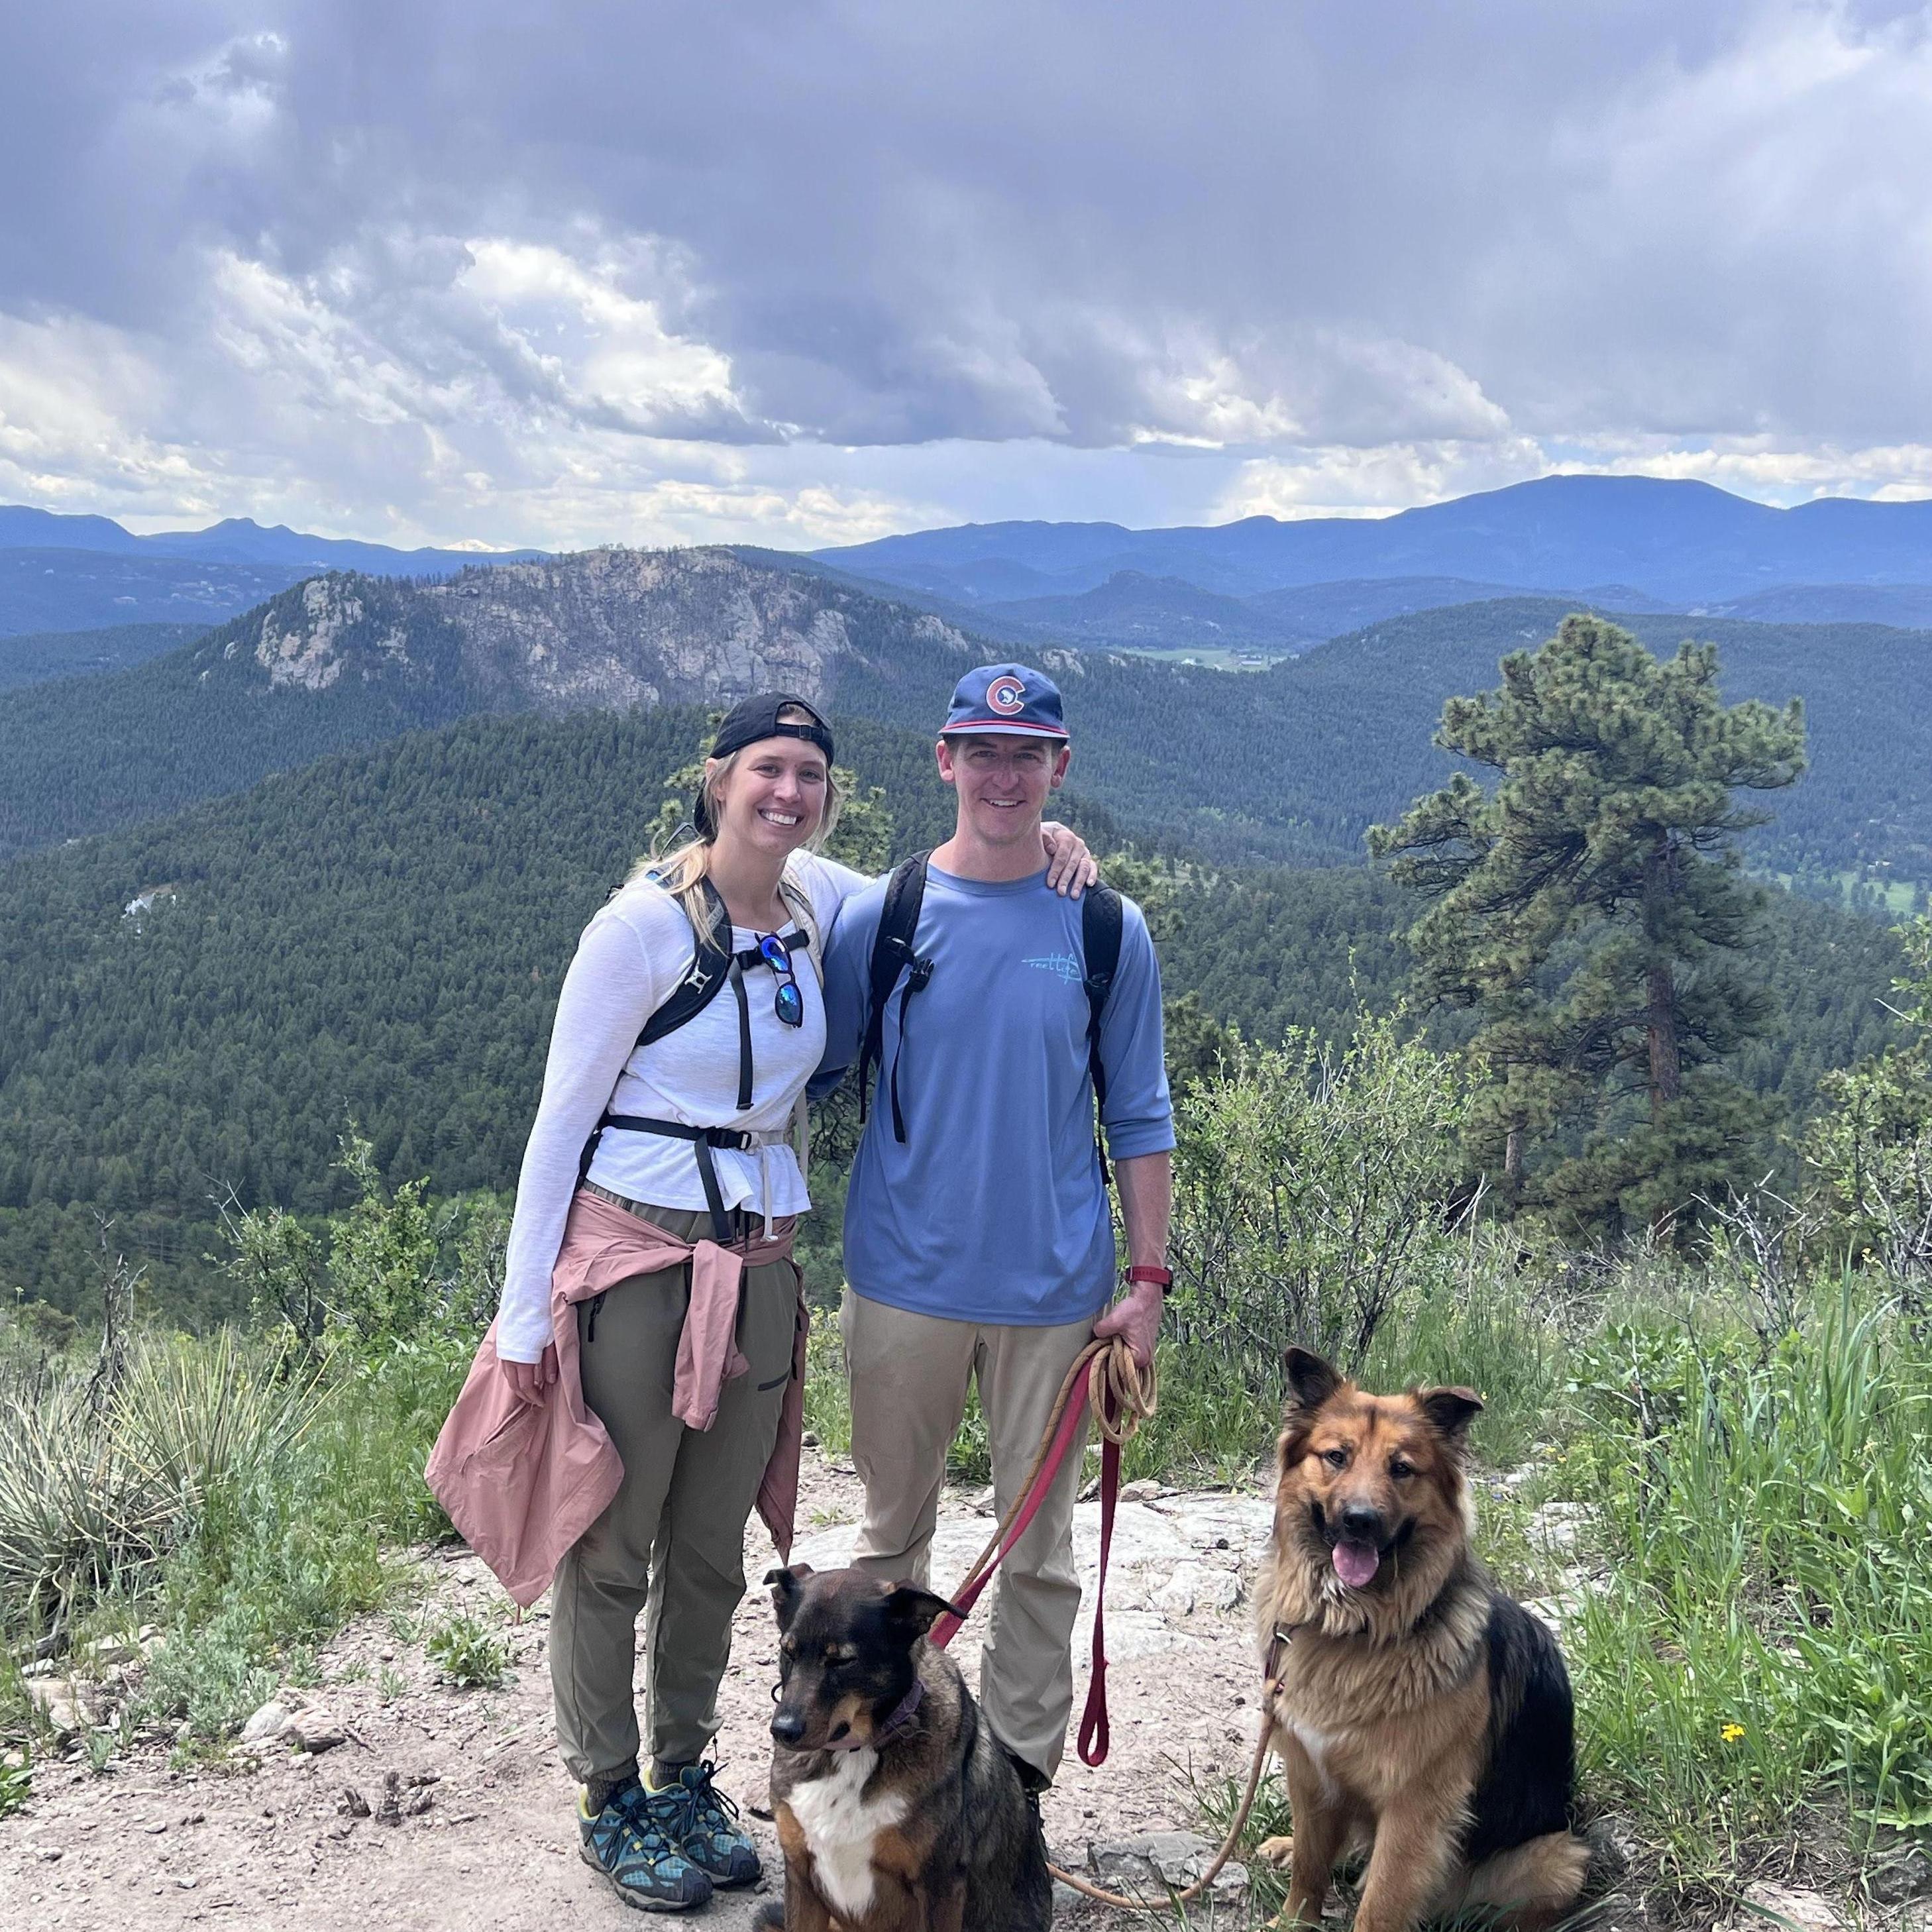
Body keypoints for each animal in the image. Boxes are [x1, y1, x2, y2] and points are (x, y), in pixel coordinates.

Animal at [757, 1561, 1051, 1932]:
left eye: (843, 1661)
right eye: (788, 1651)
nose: (783, 1731)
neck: (856, 1752)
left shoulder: (940, 1886)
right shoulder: (800, 1875)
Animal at [1252, 1352, 1584, 1924]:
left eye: (1401, 1468)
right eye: (1336, 1457)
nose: (1359, 1522)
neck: (1356, 1627)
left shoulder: (1415, 1806)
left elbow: (1381, 1904)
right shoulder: (1309, 1773)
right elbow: (1311, 1868)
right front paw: (1292, 1922)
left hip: (1557, 1861)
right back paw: (1284, 1846)